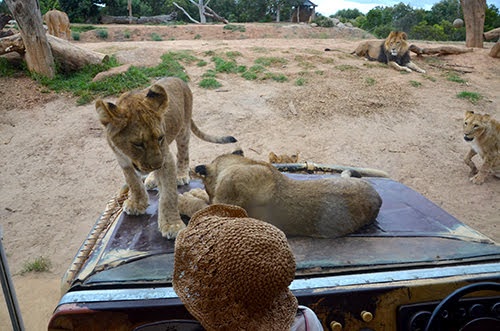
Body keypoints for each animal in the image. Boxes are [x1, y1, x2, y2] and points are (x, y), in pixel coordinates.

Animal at [97, 78, 238, 239]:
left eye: (160, 138)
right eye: (138, 144)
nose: (157, 165)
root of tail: (179, 79)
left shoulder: (166, 158)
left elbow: (168, 195)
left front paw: (172, 225)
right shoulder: (122, 160)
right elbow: (133, 182)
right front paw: (137, 203)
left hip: (183, 130)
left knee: (183, 155)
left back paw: (181, 175)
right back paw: (152, 178)